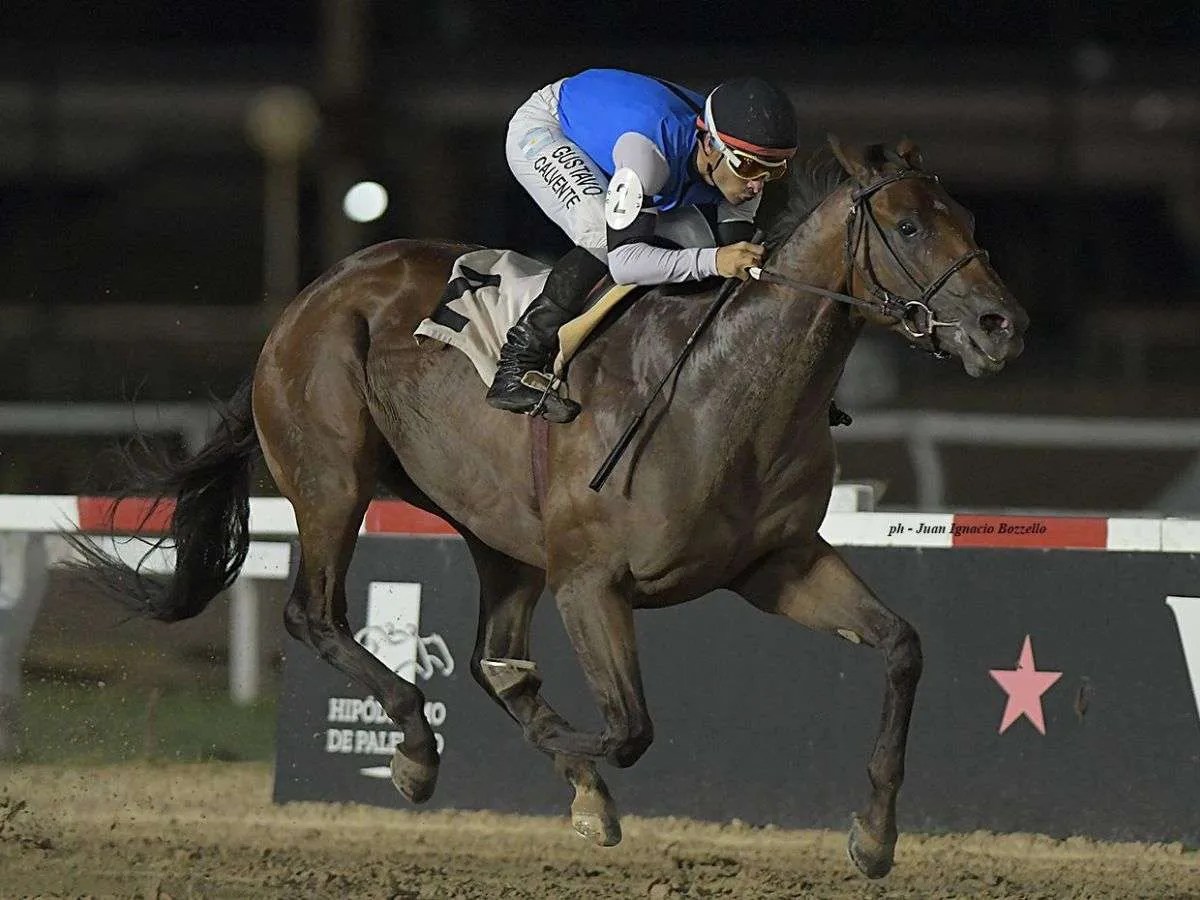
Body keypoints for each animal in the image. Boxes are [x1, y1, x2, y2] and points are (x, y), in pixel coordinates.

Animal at [72, 135, 1032, 883]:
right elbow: (629, 729)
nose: (1001, 326)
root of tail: (309, 298)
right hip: (332, 479)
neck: (724, 392)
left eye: (970, 222)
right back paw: (416, 748)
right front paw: (559, 779)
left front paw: (874, 835)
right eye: (908, 227)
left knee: (483, 657)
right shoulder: (591, 582)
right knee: (317, 615)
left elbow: (901, 646)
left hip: (500, 535)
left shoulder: (777, 564)